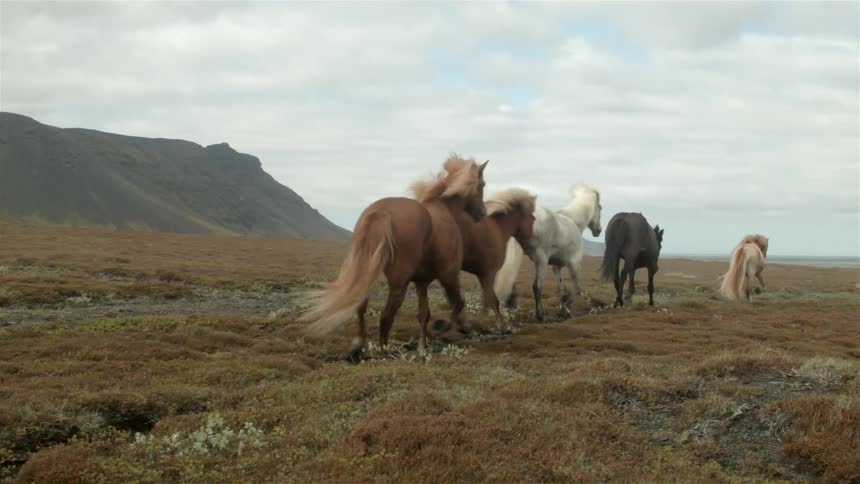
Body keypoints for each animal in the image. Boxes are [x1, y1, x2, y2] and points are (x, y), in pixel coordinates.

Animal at [300, 154, 489, 359]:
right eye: (483, 184)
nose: (482, 214)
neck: (444, 210)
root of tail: (380, 212)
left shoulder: (422, 282)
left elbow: (424, 314)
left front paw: (422, 347)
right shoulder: (449, 275)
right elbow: (458, 304)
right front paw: (442, 328)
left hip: (368, 271)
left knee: (361, 305)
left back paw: (360, 347)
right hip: (399, 283)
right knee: (386, 315)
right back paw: (383, 352)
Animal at [455, 188, 536, 334]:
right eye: (533, 219)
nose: (531, 247)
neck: (498, 229)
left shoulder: (482, 274)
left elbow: (486, 299)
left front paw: (478, 322)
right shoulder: (489, 273)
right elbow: (492, 299)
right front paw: (500, 325)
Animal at [493, 185, 602, 321]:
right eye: (600, 207)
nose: (599, 230)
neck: (574, 222)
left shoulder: (557, 266)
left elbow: (561, 288)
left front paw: (563, 309)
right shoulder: (574, 264)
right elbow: (577, 288)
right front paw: (565, 310)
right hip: (541, 260)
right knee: (537, 286)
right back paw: (540, 315)